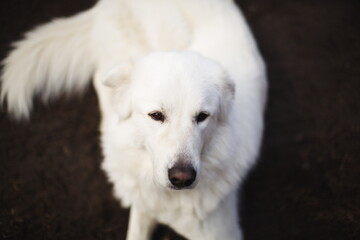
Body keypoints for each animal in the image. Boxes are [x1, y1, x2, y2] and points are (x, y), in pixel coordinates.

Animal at [0, 0, 268, 240]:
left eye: (202, 116)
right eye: (156, 115)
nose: (182, 178)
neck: (167, 198)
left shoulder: (221, 232)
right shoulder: (143, 205)